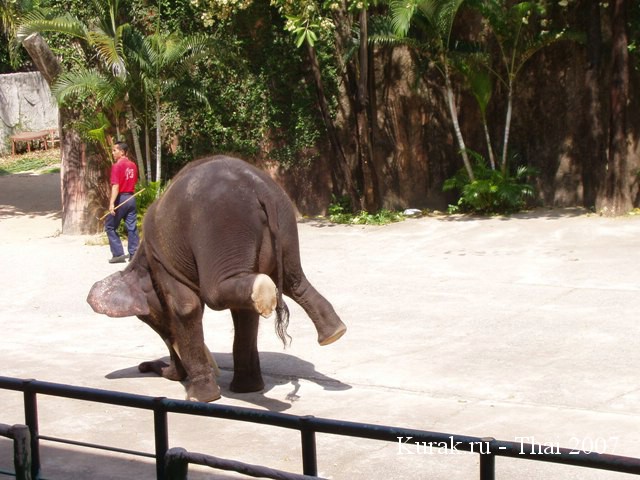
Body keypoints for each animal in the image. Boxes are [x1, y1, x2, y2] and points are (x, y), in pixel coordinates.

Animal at [87, 155, 347, 402]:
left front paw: (201, 397)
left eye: (149, 318)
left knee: (214, 292)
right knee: (294, 281)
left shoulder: (162, 260)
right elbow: (245, 314)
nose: (143, 367)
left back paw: (264, 291)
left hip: (222, 228)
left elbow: (185, 307)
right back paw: (333, 332)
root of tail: (258, 187)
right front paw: (247, 389)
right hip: (283, 222)